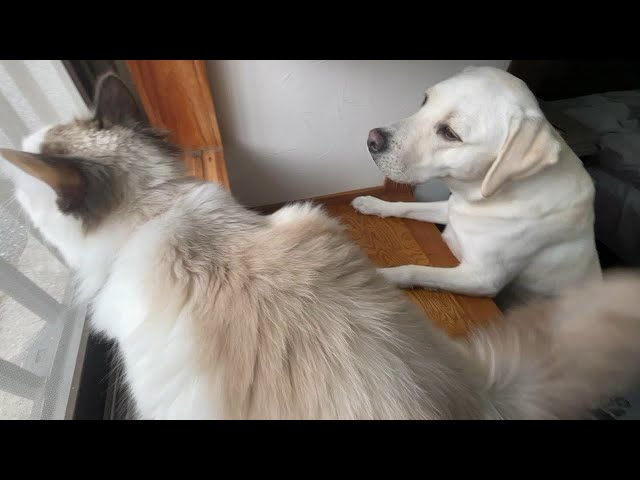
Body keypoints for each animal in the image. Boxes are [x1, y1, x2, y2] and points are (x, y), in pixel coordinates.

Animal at [352, 66, 602, 307]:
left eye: (450, 133)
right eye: (425, 100)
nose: (371, 140)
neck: (483, 198)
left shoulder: (481, 280)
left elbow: (415, 270)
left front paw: (378, 276)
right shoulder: (451, 211)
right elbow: (406, 206)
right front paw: (373, 204)